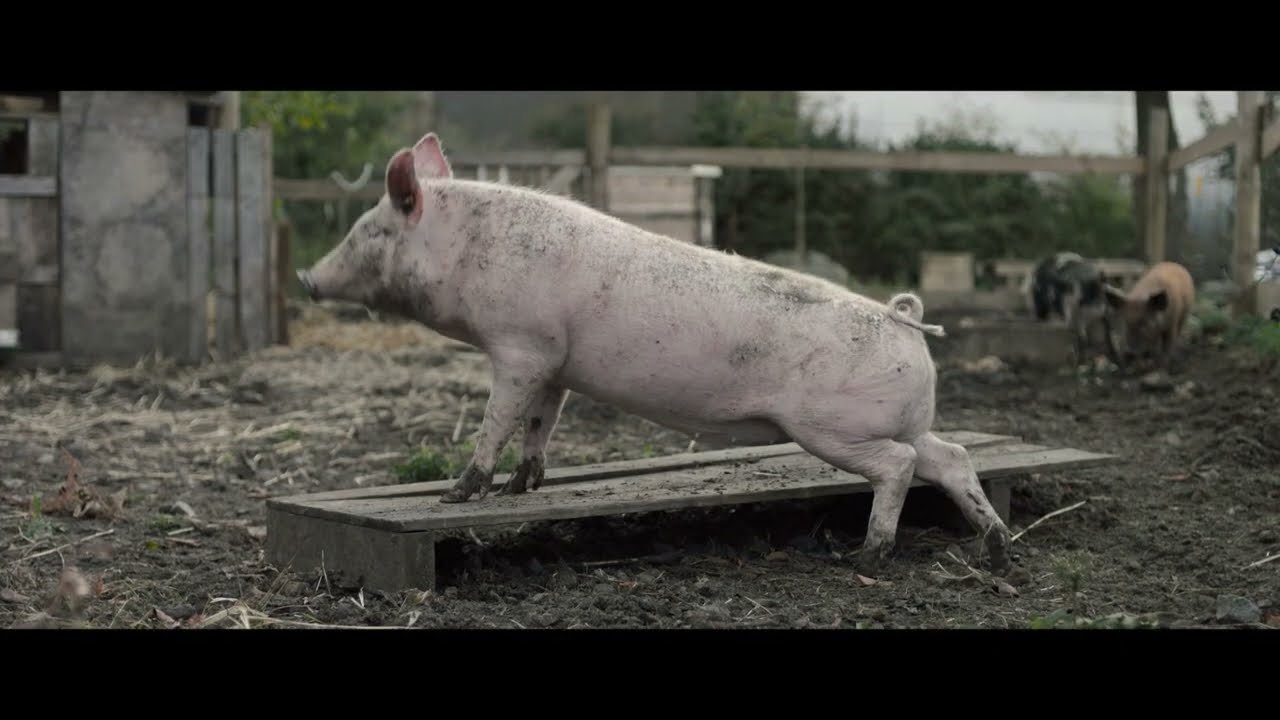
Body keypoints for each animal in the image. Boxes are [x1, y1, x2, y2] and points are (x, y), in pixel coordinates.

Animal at [296, 133, 1013, 575]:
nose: (306, 277)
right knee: (952, 458)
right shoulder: (553, 359)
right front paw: (525, 485)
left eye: (369, 231)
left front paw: (456, 497)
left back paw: (866, 558)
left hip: (835, 428)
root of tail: (904, 321)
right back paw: (996, 548)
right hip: (906, 422)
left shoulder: (520, 348)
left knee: (899, 467)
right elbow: (541, 421)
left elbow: (497, 419)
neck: (467, 252)